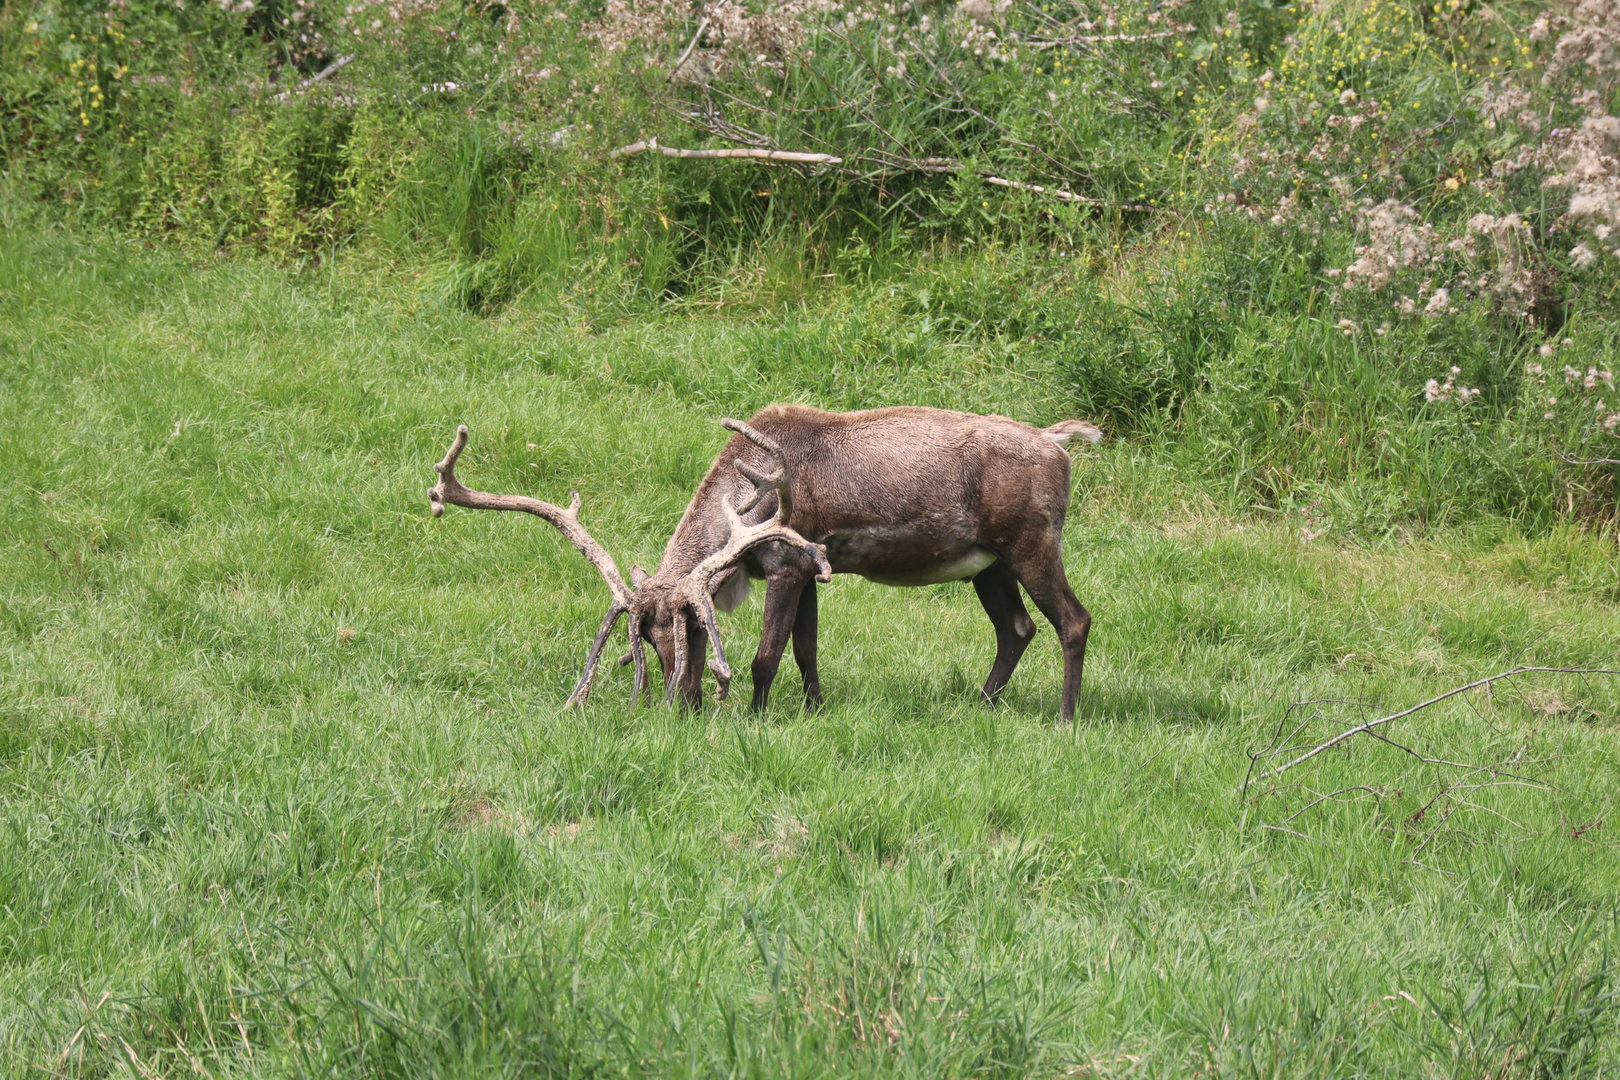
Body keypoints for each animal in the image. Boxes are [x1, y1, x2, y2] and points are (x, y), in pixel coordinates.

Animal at [427, 404, 1104, 723]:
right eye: (645, 636)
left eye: (695, 626)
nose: (684, 703)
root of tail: (1061, 445)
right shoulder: (812, 571)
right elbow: (807, 650)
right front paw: (815, 710)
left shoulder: (786, 565)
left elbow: (766, 655)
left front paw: (755, 718)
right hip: (987, 562)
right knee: (1017, 628)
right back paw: (979, 706)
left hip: (1033, 542)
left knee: (1073, 619)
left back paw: (1065, 718)